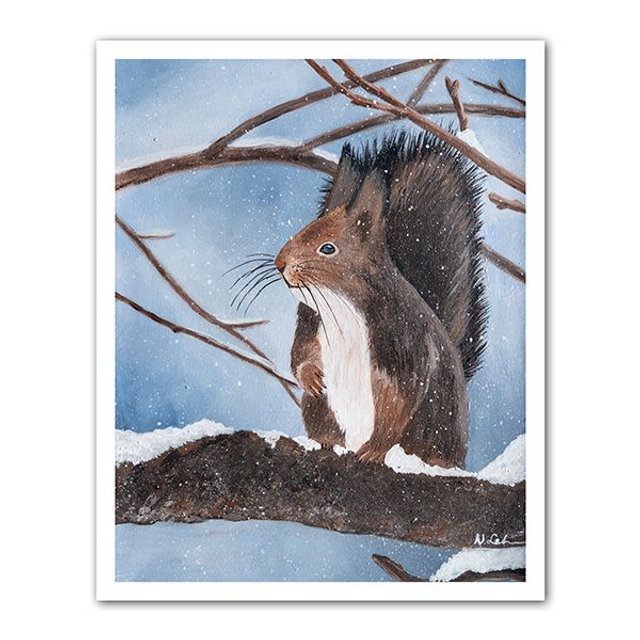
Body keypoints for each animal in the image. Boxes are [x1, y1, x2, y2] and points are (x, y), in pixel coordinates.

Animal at [274, 130, 487, 468]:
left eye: (328, 248)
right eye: (305, 227)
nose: (280, 263)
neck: (341, 302)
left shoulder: (401, 341)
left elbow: (399, 398)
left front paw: (375, 451)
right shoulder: (310, 319)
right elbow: (300, 356)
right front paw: (311, 377)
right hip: (321, 410)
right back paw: (325, 443)